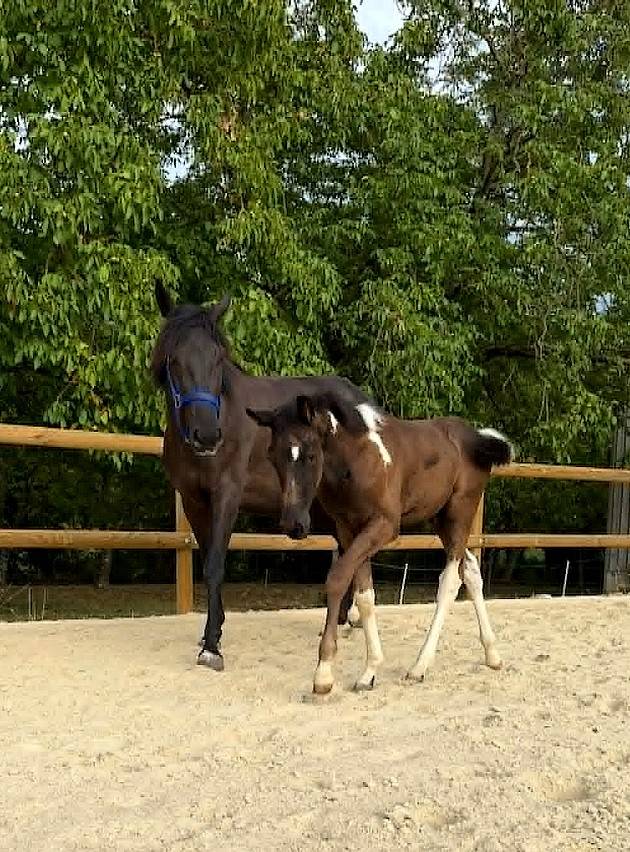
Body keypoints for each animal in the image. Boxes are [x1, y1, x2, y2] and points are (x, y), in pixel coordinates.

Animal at [150, 284, 375, 670]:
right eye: (174, 360)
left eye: (218, 359)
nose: (207, 436)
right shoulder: (194, 502)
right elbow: (208, 558)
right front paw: (214, 630)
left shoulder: (227, 495)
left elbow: (215, 565)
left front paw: (212, 647)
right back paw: (342, 621)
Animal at [246, 394, 513, 694]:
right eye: (272, 456)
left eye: (311, 454)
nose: (293, 525)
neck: (357, 459)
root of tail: (477, 438)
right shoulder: (350, 530)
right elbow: (364, 594)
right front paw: (369, 672)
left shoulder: (384, 526)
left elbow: (338, 578)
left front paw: (323, 674)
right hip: (441, 520)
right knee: (470, 569)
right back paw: (492, 655)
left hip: (459, 514)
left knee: (450, 580)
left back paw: (419, 667)